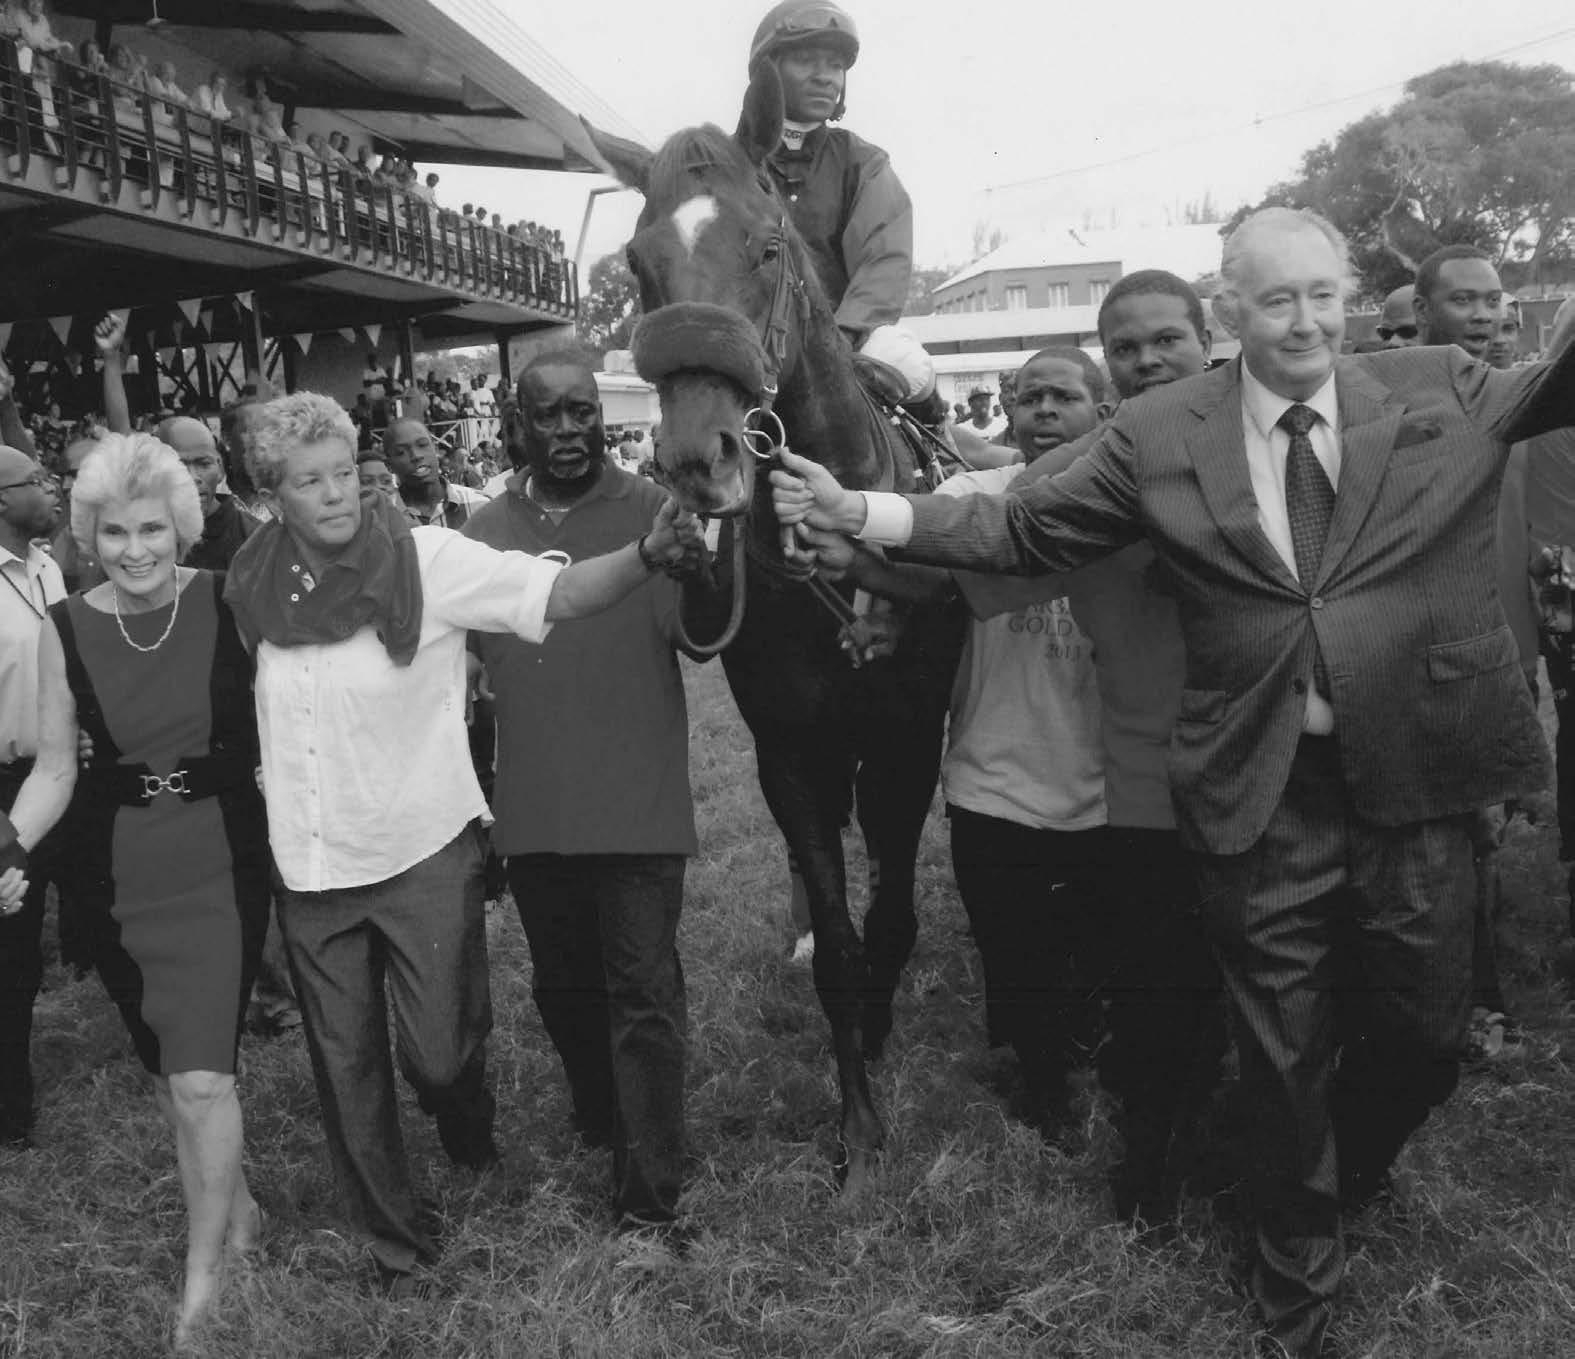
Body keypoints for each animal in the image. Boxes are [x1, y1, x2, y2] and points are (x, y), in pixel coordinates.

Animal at [587, 70, 963, 1194]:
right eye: (639, 262)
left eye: (764, 246)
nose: (696, 458)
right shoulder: (791, 751)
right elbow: (839, 936)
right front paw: (858, 1119)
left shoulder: (903, 740)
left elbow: (890, 912)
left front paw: (880, 1026)